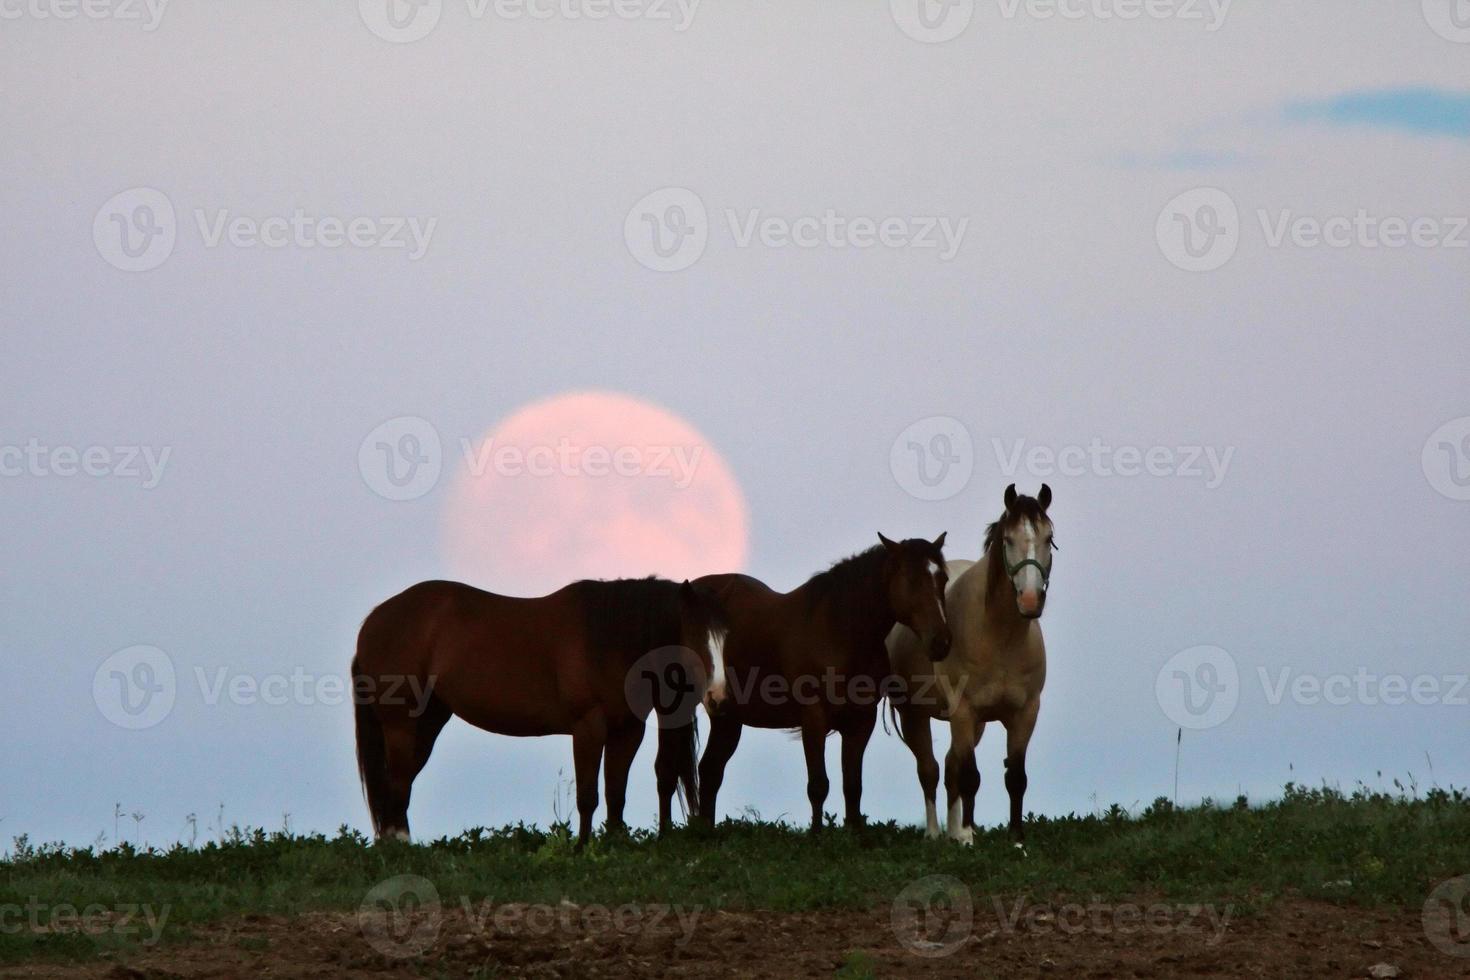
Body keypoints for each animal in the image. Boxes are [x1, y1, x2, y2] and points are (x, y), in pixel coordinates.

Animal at [351, 578, 729, 846]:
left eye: (722, 639)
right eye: (696, 638)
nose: (718, 695)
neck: (606, 641)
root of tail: (372, 622)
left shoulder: (627, 731)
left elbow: (615, 792)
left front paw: (614, 841)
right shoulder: (588, 727)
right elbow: (588, 796)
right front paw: (582, 847)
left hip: (428, 721)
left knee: (400, 780)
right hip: (401, 724)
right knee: (398, 779)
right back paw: (399, 844)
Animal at [696, 537, 952, 834]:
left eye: (942, 578)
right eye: (910, 579)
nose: (941, 642)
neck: (838, 633)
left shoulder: (861, 720)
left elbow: (852, 785)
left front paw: (853, 833)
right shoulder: (814, 717)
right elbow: (818, 785)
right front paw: (817, 835)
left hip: (727, 718)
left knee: (710, 770)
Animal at [887, 481, 1052, 846]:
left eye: (1049, 537)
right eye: (1008, 540)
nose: (1030, 599)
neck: (999, 639)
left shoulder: (1025, 713)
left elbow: (1015, 776)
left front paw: (1015, 837)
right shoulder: (962, 710)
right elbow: (969, 776)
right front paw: (968, 839)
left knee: (951, 769)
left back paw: (956, 828)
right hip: (915, 714)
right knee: (931, 770)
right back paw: (937, 833)